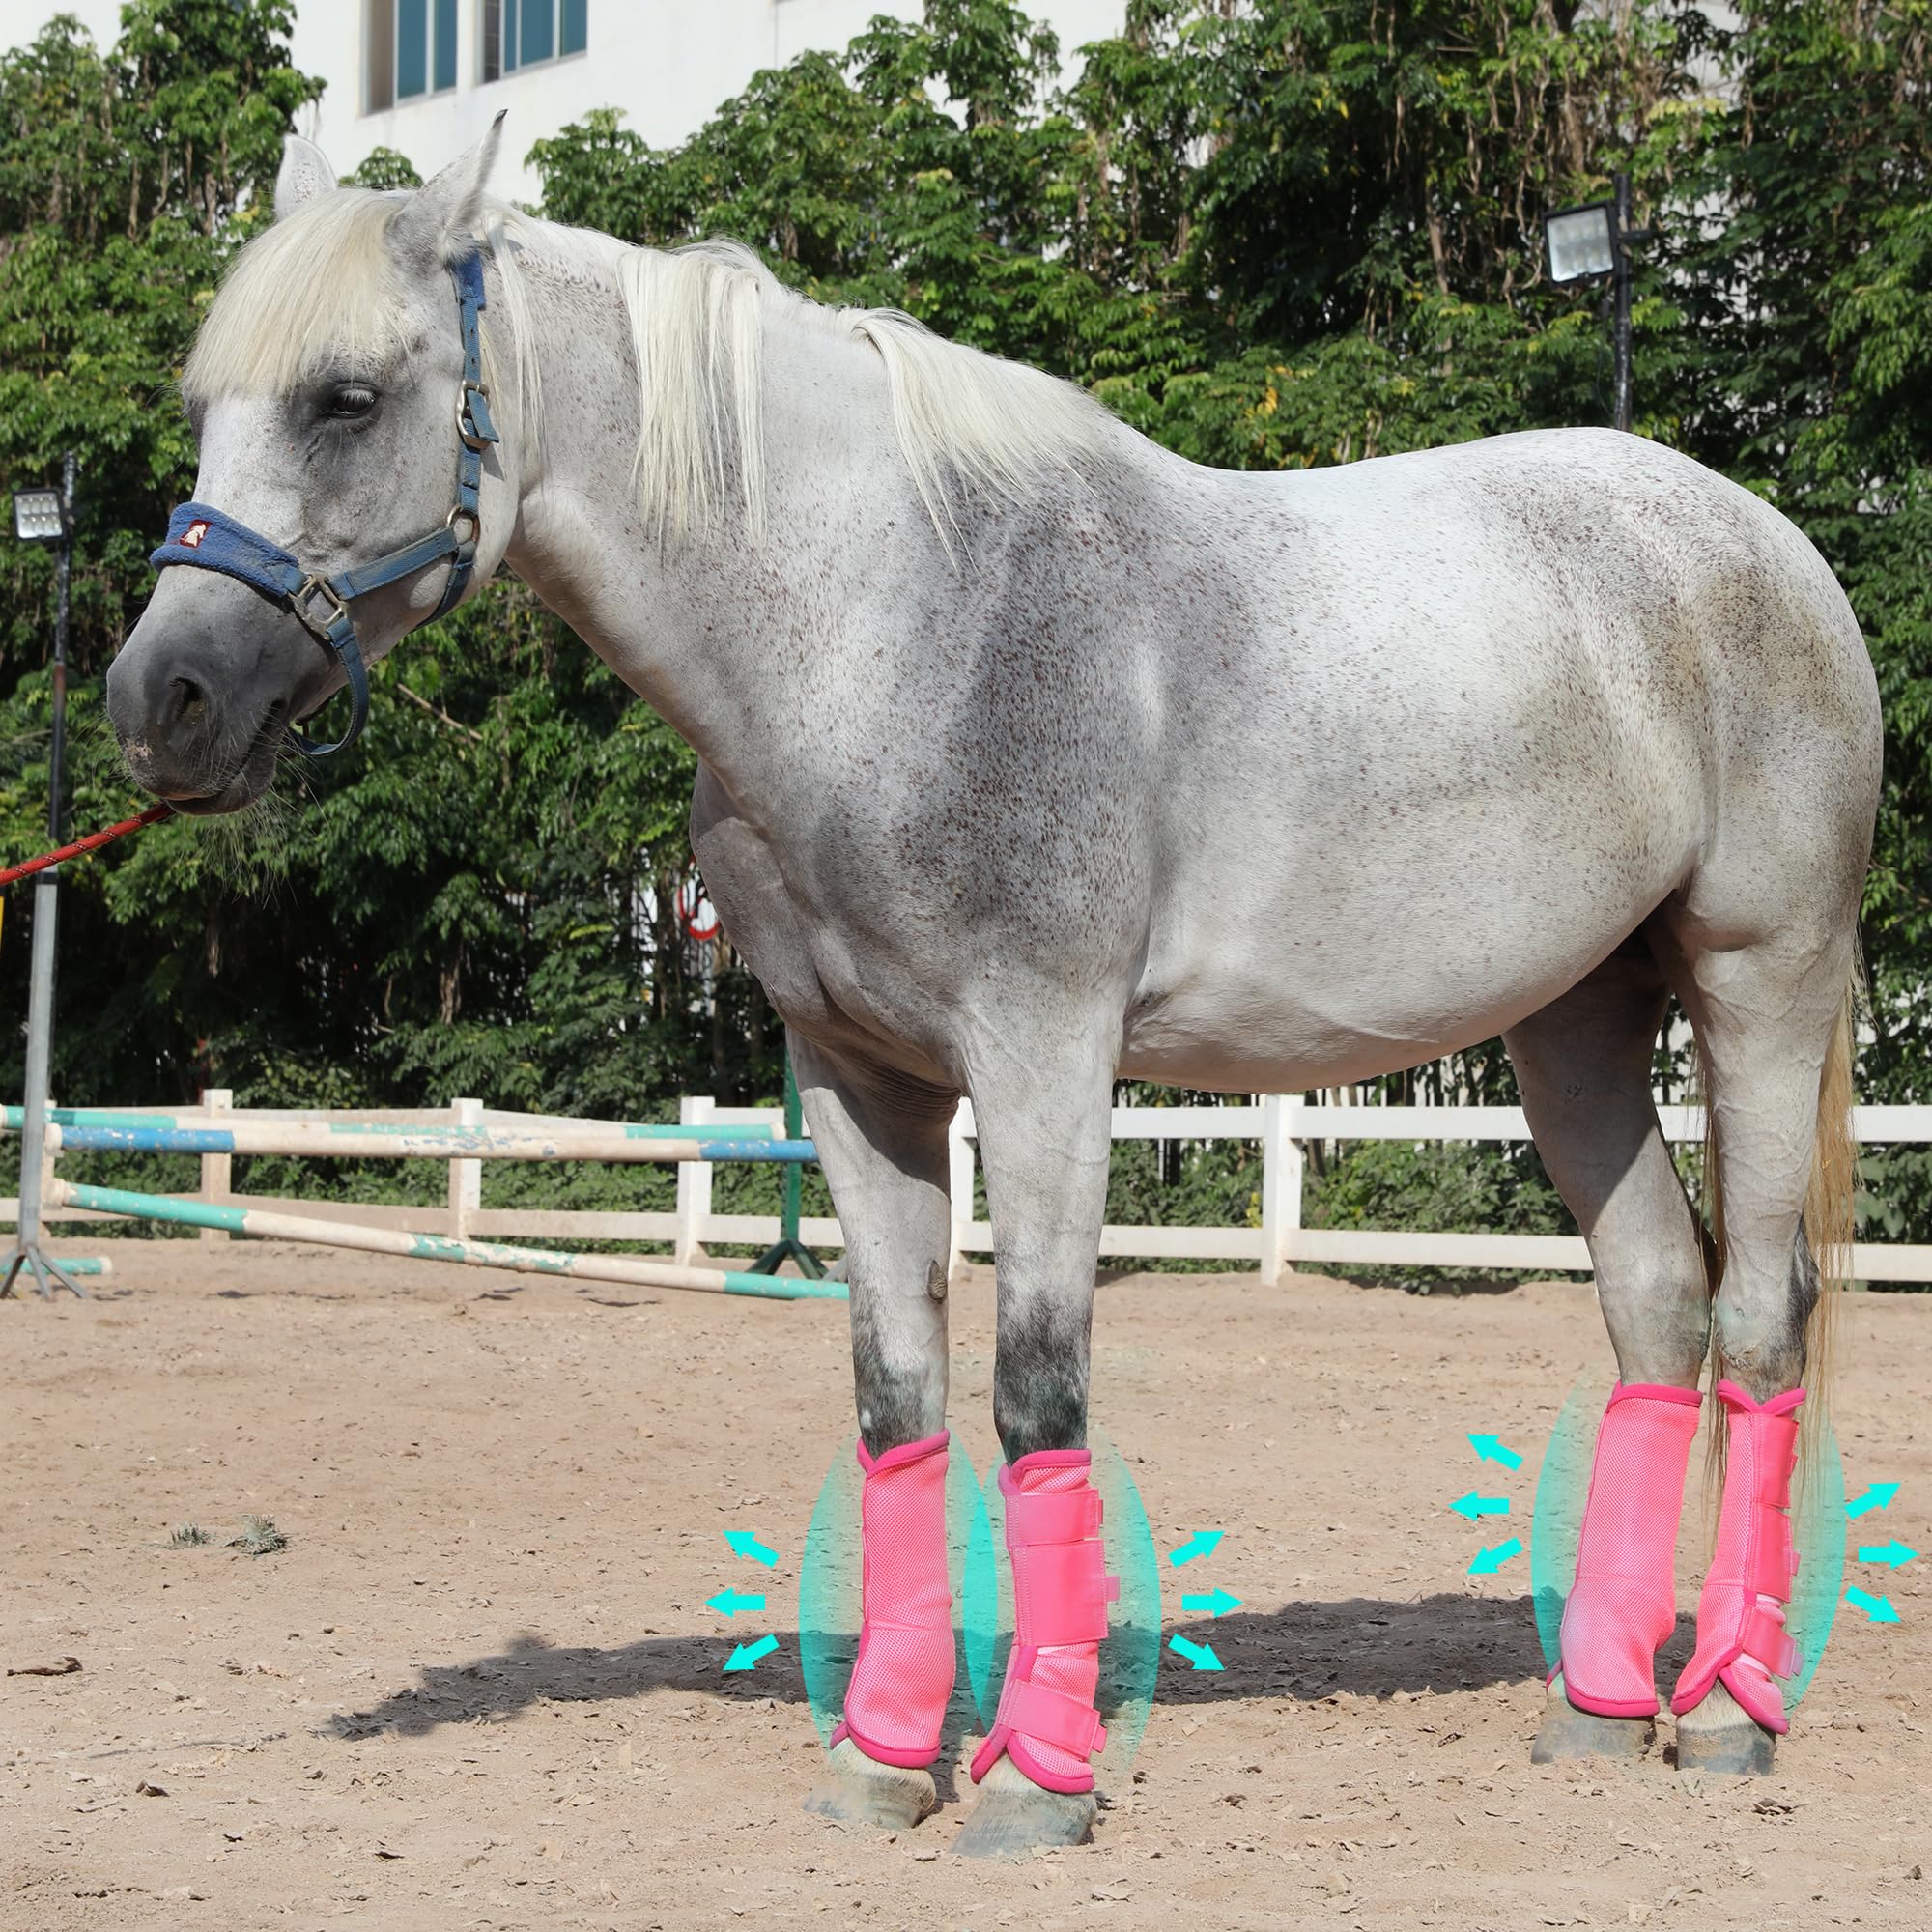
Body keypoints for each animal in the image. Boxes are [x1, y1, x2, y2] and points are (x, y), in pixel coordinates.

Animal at [107, 124, 1880, 1852]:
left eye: (346, 397)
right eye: (202, 409)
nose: (158, 702)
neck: (893, 633)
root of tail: (1765, 544)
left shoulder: (1044, 1061)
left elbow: (1038, 1400)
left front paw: (1037, 1781)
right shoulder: (857, 1083)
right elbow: (899, 1401)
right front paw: (886, 1760)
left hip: (1757, 983)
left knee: (1757, 1316)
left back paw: (1727, 1714)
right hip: (1571, 1024)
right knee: (1655, 1309)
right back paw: (1600, 1710)